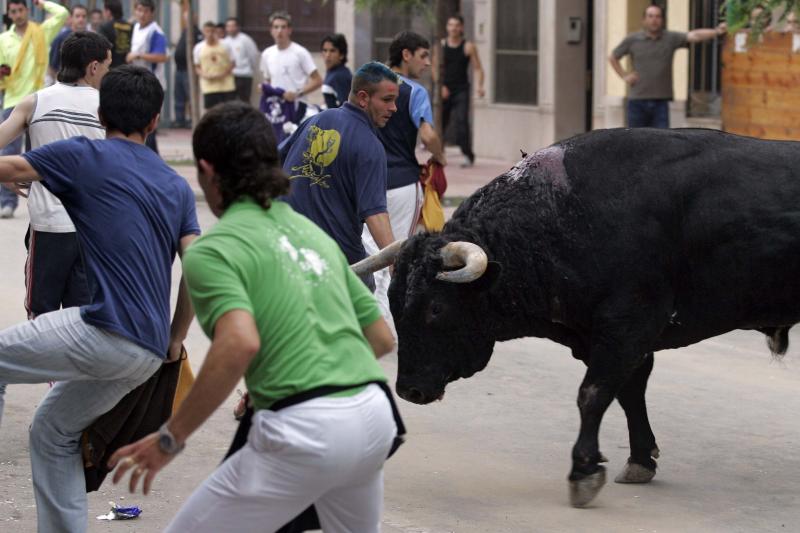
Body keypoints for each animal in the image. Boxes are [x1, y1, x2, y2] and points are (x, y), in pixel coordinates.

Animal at [368, 128, 800, 508]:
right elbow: (628, 393)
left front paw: (583, 470)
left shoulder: (627, 326)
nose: (408, 390)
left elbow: (592, 394)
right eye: (393, 301)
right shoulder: (607, 337)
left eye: (435, 307)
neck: (560, 214)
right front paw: (640, 459)